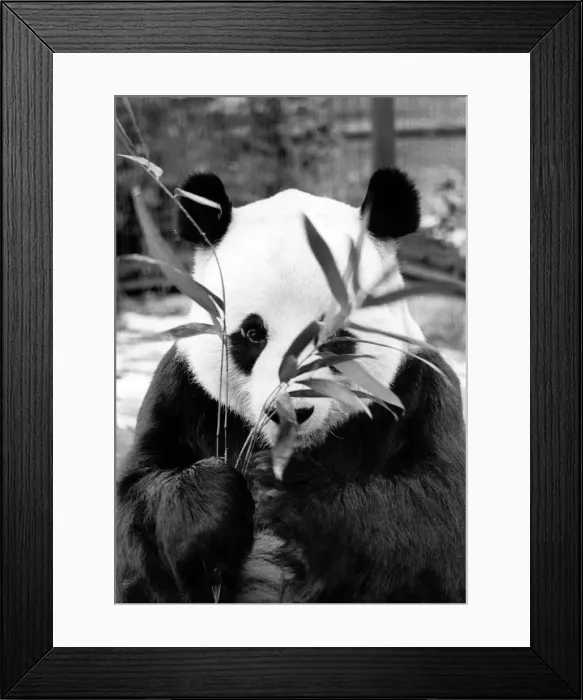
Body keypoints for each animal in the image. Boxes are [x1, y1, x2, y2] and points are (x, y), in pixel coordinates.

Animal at [116, 168, 466, 604]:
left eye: (333, 337)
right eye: (252, 334)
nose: (292, 411)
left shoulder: (417, 388)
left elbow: (435, 516)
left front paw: (285, 488)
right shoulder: (182, 389)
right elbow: (136, 506)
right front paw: (216, 502)